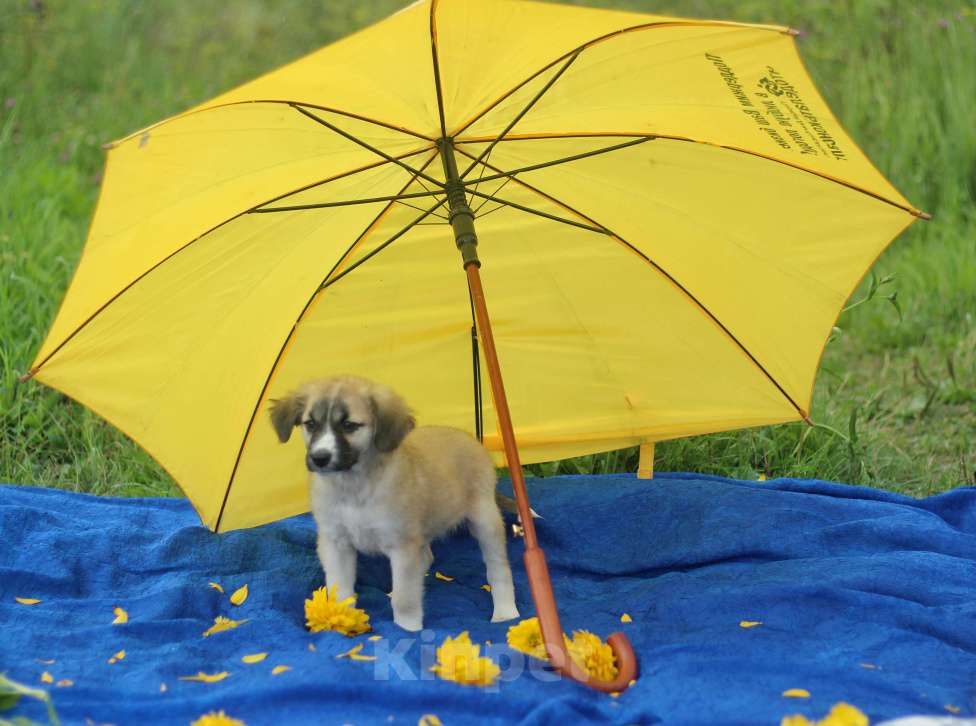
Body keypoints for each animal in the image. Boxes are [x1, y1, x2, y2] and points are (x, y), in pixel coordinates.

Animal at [268, 376, 520, 632]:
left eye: (349, 425)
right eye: (310, 424)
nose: (320, 458)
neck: (354, 489)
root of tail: (472, 440)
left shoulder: (402, 545)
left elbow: (405, 597)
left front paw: (407, 630)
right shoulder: (336, 542)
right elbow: (340, 591)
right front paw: (341, 622)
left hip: (485, 521)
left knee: (500, 570)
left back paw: (505, 612)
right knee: (426, 557)